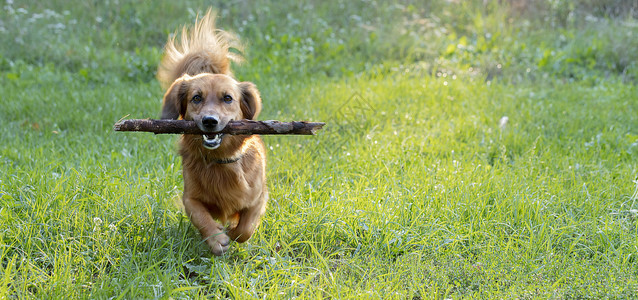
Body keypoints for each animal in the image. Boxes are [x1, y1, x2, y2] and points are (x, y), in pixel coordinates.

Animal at [160, 9, 270, 255]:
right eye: (196, 98)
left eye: (227, 98)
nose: (210, 121)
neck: (220, 162)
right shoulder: (190, 197)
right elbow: (201, 216)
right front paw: (216, 237)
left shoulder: (259, 197)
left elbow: (246, 227)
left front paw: (233, 232)